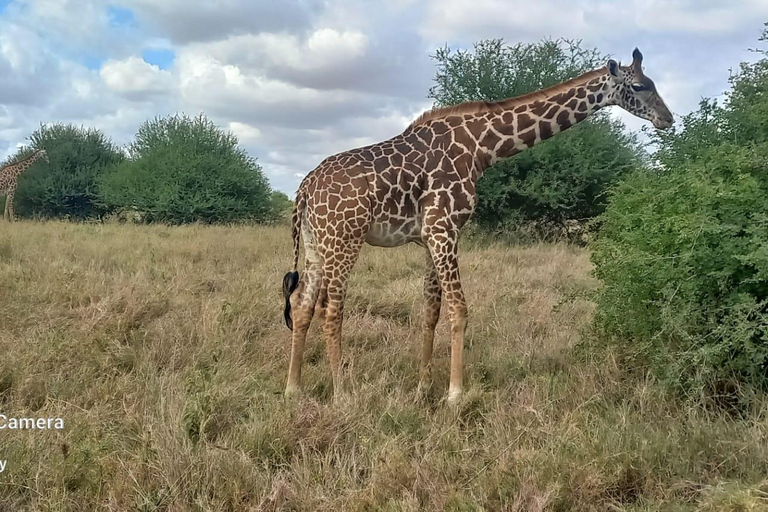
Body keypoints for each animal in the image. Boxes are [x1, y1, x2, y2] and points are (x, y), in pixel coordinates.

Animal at [282, 47, 672, 404]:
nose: (667, 118)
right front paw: (455, 394)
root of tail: (304, 188)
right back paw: (342, 394)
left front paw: (423, 389)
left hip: (316, 243)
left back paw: (293, 389)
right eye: (639, 85)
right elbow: (460, 310)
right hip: (344, 238)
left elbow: (431, 311)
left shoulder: (429, 237)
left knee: (301, 304)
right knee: (332, 310)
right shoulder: (444, 228)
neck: (481, 149)